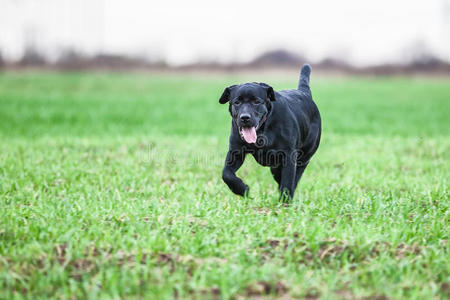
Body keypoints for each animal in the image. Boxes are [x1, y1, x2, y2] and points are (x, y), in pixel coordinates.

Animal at [221, 65, 320, 202]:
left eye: (256, 102)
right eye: (237, 102)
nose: (245, 117)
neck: (262, 131)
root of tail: (304, 93)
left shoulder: (288, 156)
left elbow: (288, 182)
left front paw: (284, 202)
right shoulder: (235, 152)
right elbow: (226, 174)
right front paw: (242, 189)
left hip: (304, 157)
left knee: (295, 178)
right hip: (275, 167)